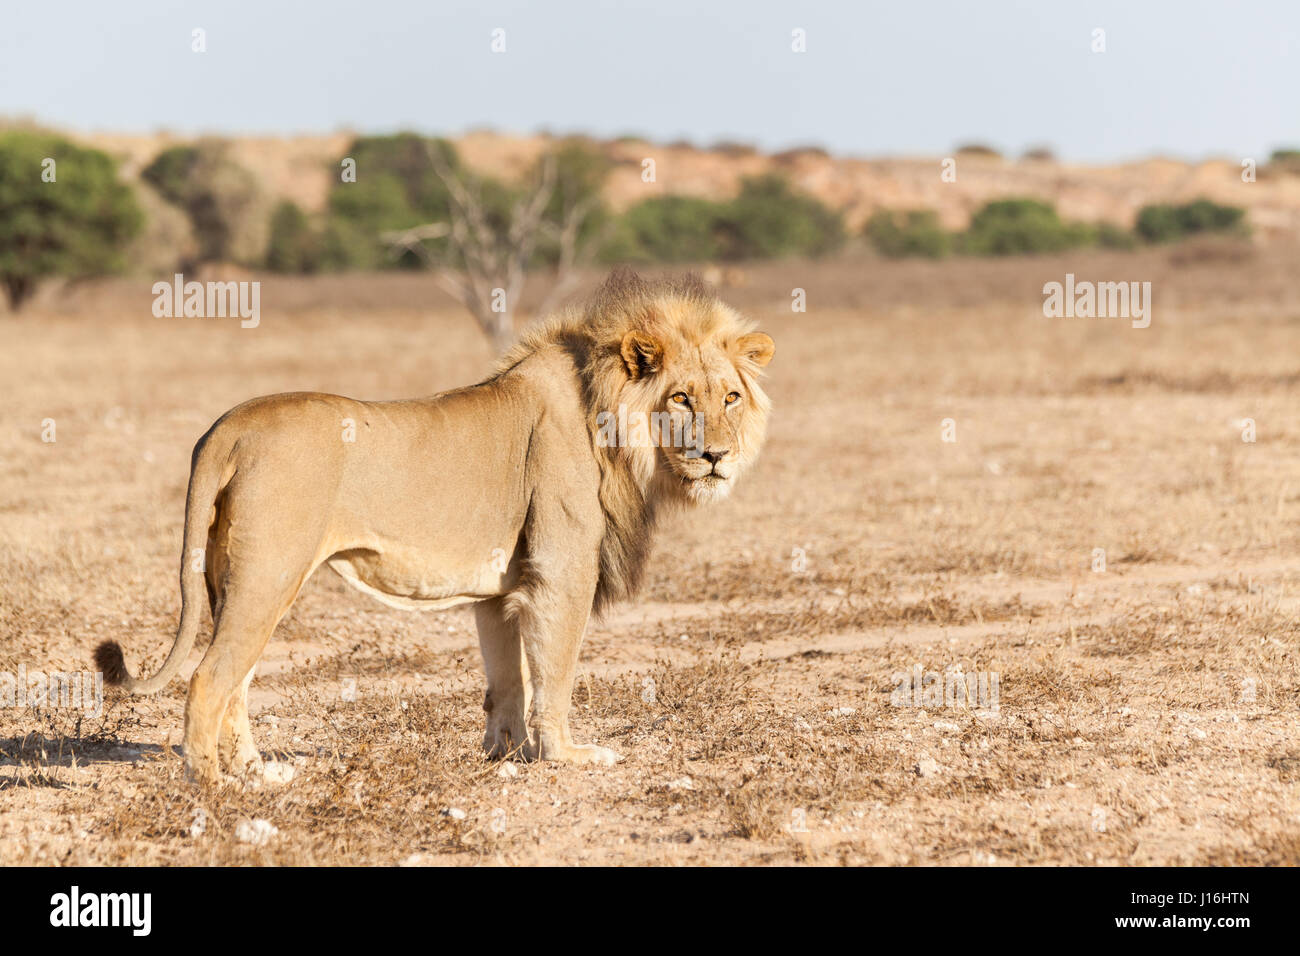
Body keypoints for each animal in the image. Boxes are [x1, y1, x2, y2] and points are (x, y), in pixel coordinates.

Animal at [101, 269, 774, 785]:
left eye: (732, 397)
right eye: (682, 398)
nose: (716, 456)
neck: (609, 422)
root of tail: (228, 426)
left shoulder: (502, 590)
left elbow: (508, 681)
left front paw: (506, 755)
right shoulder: (561, 574)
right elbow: (554, 673)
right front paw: (567, 756)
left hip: (235, 579)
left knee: (236, 679)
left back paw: (258, 772)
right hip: (269, 572)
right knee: (210, 678)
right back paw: (213, 784)